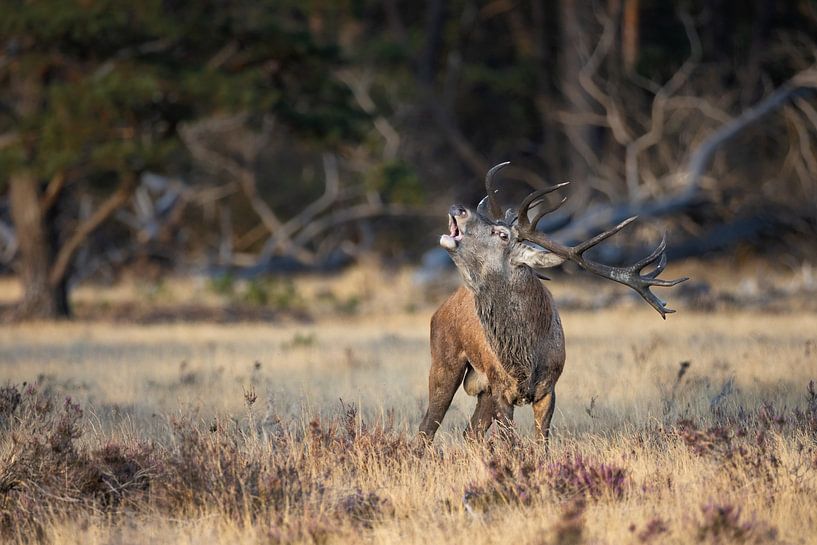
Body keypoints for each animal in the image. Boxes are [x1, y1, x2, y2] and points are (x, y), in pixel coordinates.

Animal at [418, 162, 688, 444]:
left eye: (502, 234)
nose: (458, 208)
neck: (525, 357)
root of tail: (442, 306)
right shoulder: (502, 388)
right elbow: (509, 443)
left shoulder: (549, 388)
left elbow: (541, 443)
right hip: (444, 360)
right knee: (426, 428)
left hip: (481, 387)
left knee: (470, 432)